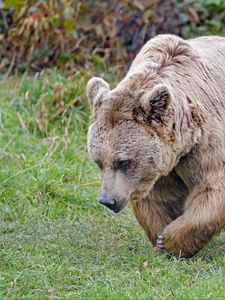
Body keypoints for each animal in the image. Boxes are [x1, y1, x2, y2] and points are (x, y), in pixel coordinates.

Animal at [86, 34, 225, 258]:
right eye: (98, 161)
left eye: (123, 161)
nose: (108, 200)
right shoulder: (158, 166)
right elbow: (160, 198)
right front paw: (160, 240)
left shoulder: (204, 140)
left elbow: (211, 185)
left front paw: (169, 241)